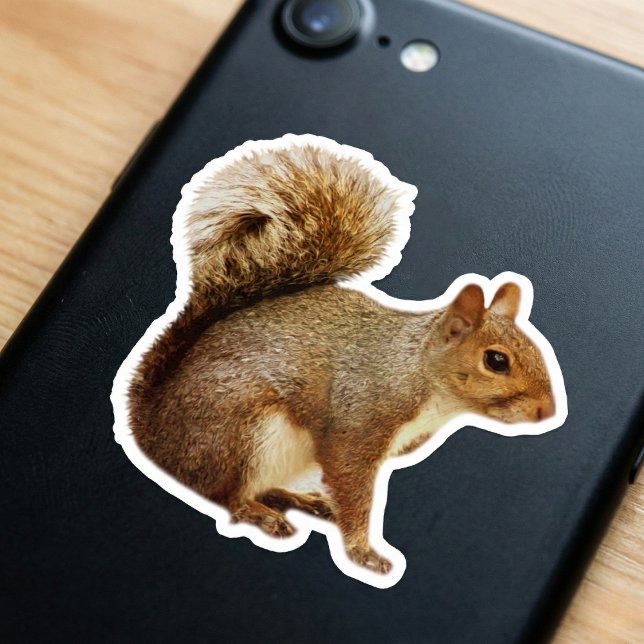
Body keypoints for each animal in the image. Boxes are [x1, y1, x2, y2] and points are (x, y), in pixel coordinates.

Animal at [125, 134, 556, 575]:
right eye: (496, 360)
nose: (547, 412)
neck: (421, 376)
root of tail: (154, 428)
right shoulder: (360, 421)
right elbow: (352, 484)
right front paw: (364, 552)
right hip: (241, 433)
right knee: (222, 493)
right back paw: (258, 512)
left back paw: (295, 499)